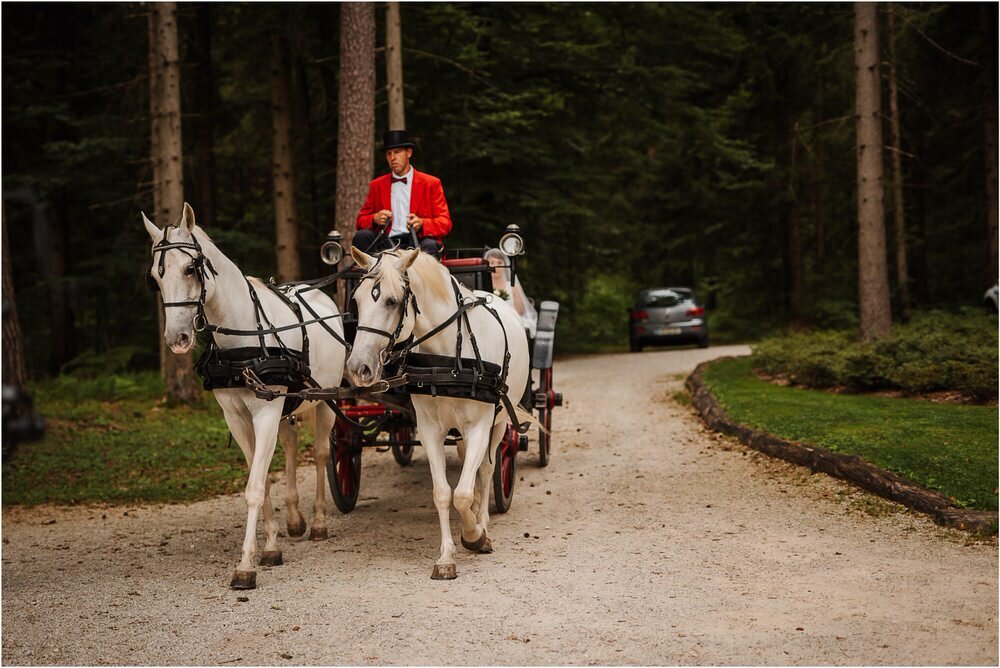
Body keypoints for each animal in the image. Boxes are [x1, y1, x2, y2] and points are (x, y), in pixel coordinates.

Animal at [143, 204, 348, 588]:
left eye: (190, 268)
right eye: (154, 277)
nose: (177, 339)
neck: (242, 339)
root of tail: (313, 291)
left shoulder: (265, 413)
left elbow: (255, 486)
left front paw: (245, 566)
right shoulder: (237, 417)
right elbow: (262, 479)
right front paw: (270, 546)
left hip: (327, 399)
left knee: (322, 454)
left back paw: (318, 523)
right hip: (288, 405)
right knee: (292, 448)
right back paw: (295, 519)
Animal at [346, 245, 532, 580]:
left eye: (391, 301)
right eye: (356, 300)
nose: (358, 368)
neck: (448, 360)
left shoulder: (480, 427)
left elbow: (464, 492)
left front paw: (475, 535)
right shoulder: (431, 430)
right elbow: (444, 492)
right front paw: (446, 557)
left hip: (498, 425)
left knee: (487, 471)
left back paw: (483, 522)